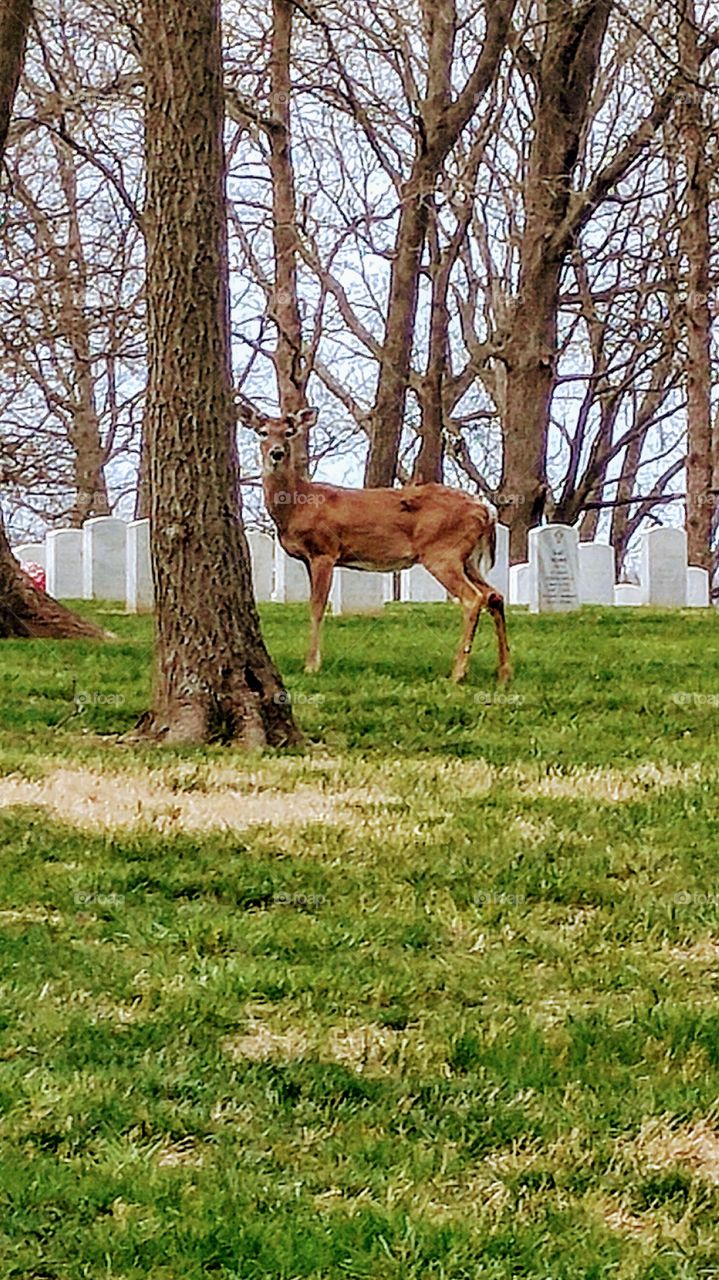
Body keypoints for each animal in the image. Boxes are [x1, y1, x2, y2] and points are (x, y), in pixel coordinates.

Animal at [240, 404, 511, 685]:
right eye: (262, 432)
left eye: (289, 432)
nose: (277, 453)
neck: (298, 506)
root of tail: (486, 511)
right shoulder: (308, 557)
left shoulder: (324, 550)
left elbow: (316, 606)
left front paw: (312, 665)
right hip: (468, 558)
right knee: (495, 596)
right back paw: (503, 672)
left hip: (443, 552)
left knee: (473, 598)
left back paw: (457, 673)